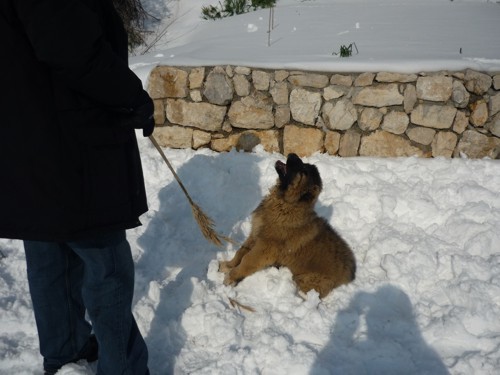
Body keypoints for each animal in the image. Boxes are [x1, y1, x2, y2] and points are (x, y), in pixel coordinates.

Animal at [219, 153, 356, 300]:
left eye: (303, 171)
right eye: (305, 165)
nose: (292, 154)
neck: (286, 203)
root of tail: (349, 274)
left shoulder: (266, 247)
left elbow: (247, 260)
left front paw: (232, 277)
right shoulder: (255, 233)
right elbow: (241, 252)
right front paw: (228, 266)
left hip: (308, 280)